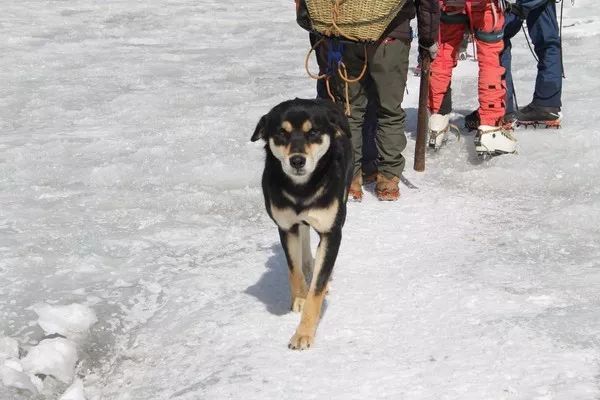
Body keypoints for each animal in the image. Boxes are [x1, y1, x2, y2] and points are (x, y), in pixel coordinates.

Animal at [251, 97, 354, 350]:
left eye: (313, 132)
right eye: (282, 133)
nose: (297, 160)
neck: (302, 190)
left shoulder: (331, 232)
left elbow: (317, 288)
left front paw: (303, 333)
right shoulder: (286, 227)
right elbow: (293, 270)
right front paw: (299, 297)